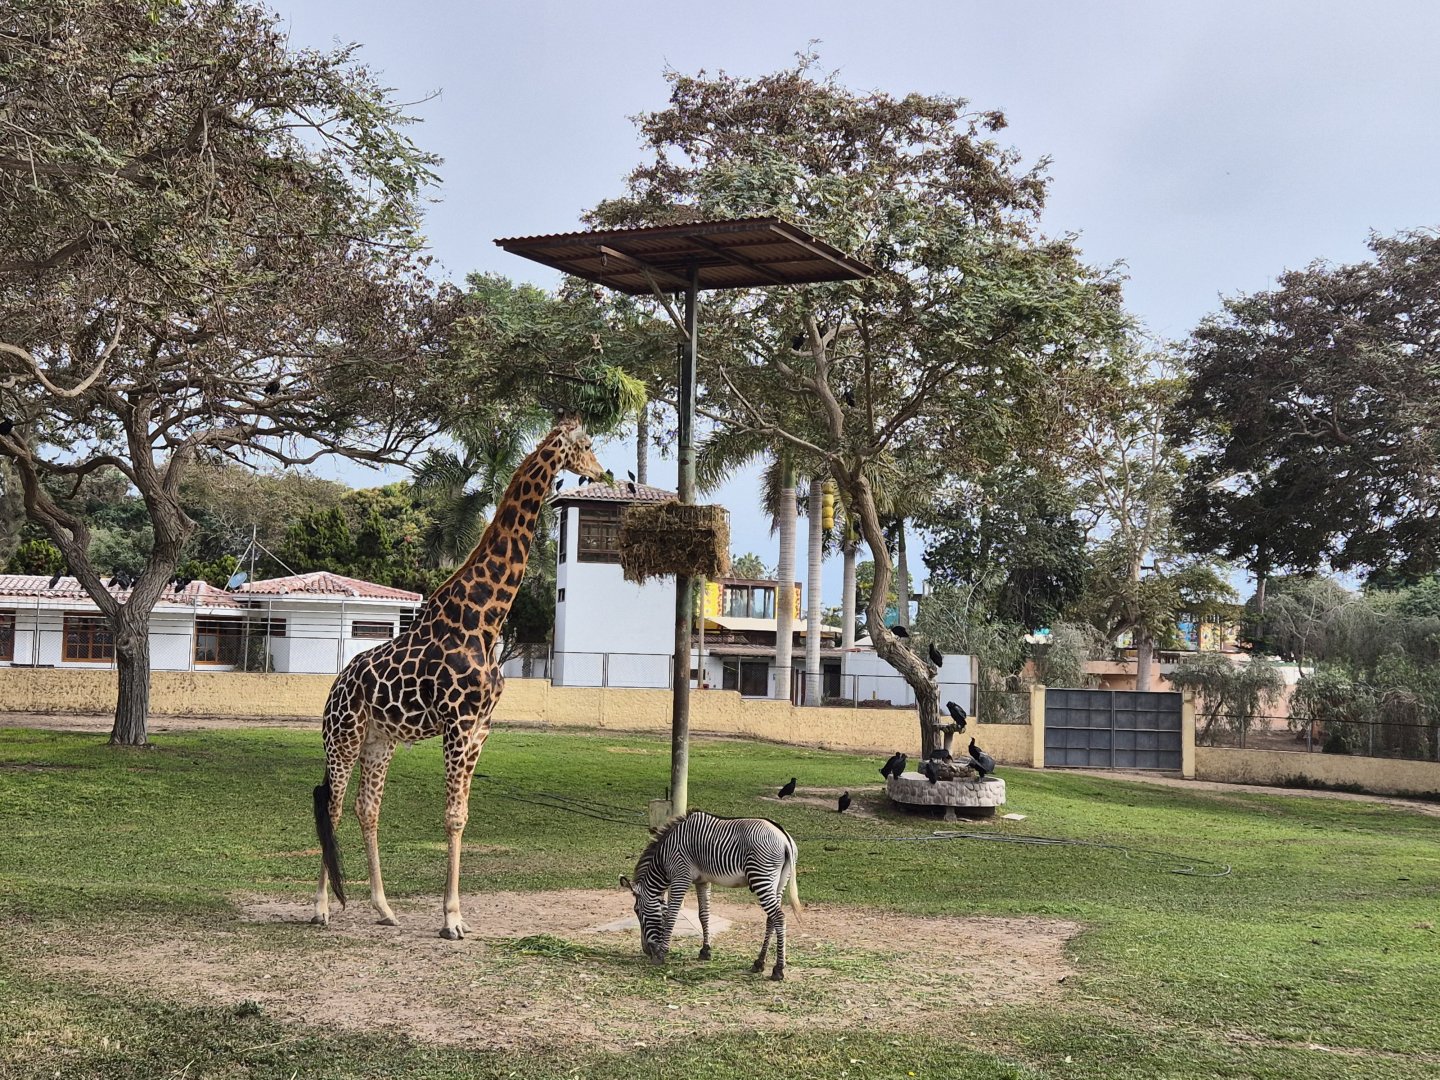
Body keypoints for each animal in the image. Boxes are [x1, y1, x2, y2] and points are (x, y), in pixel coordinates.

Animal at [311, 416, 608, 939]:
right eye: (587, 445)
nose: (602, 472)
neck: (485, 618)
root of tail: (334, 689)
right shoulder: (458, 723)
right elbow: (450, 817)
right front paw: (452, 919)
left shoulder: (481, 728)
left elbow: (462, 817)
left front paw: (452, 913)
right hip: (342, 737)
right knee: (333, 807)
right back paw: (322, 908)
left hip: (378, 741)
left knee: (368, 810)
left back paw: (384, 909)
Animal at [619, 810, 803, 981]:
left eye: (637, 911)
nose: (646, 951)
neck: (664, 858)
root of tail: (784, 837)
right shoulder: (702, 881)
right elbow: (704, 914)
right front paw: (705, 951)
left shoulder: (680, 878)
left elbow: (672, 915)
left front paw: (661, 954)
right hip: (779, 881)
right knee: (771, 919)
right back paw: (759, 962)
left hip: (761, 877)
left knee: (779, 917)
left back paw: (778, 969)